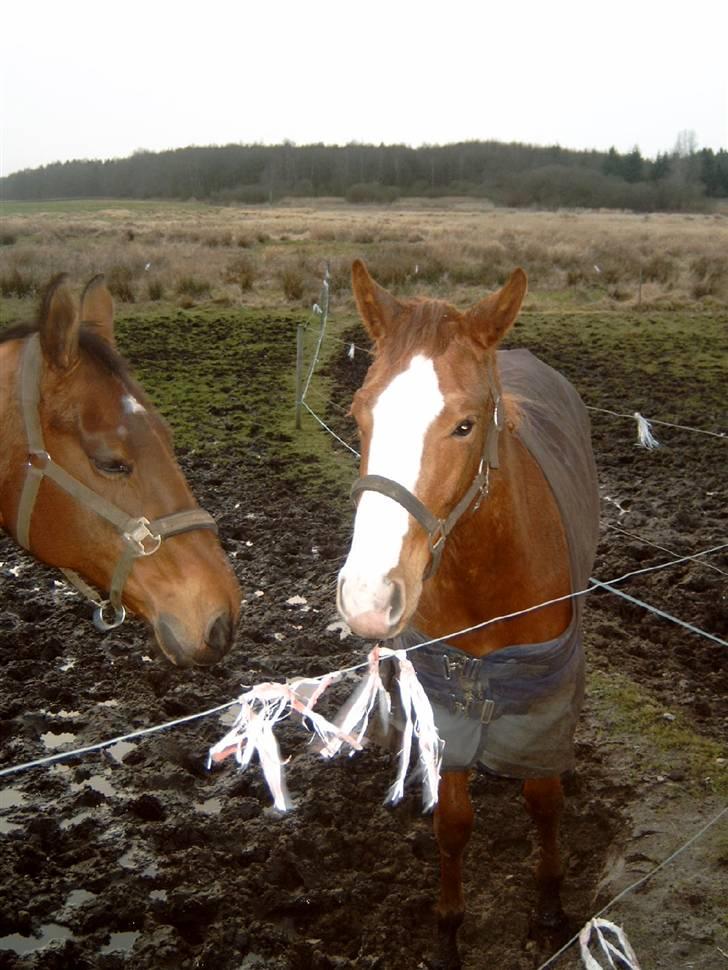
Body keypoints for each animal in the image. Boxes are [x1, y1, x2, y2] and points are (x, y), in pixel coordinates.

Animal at [338, 260, 600, 964]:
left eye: (464, 425)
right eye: (359, 414)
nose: (368, 596)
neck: (488, 574)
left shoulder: (542, 698)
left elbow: (544, 799)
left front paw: (548, 905)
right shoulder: (445, 699)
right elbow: (453, 822)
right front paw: (449, 932)